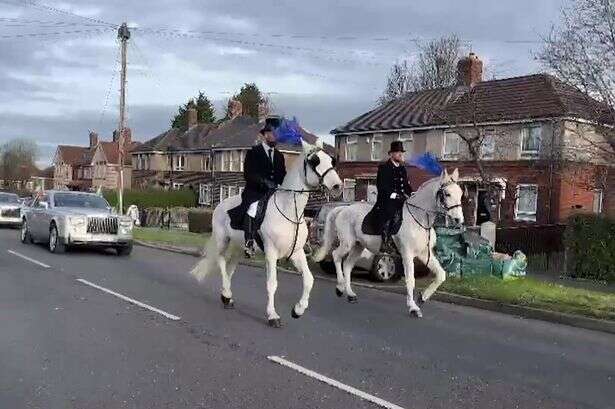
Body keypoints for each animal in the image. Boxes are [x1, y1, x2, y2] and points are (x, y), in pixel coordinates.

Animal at [191, 142, 342, 326]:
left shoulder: (297, 253)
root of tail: (221, 204)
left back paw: (227, 296)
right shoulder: (271, 252)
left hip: (239, 247)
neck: (288, 211)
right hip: (222, 240)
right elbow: (272, 283)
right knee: (220, 261)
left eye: (331, 160)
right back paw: (226, 295)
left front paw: (298, 310)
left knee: (230, 268)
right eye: (314, 161)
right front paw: (273, 315)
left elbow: (309, 280)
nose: (337, 186)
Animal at [316, 167, 464, 318]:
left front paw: (422, 297)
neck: (419, 219)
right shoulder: (407, 254)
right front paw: (413, 308)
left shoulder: (423, 254)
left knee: (347, 265)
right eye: (447, 194)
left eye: (460, 193)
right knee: (336, 256)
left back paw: (351, 295)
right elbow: (410, 279)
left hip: (358, 246)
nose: (459, 220)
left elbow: (441, 275)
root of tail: (343, 208)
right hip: (347, 243)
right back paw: (340, 288)